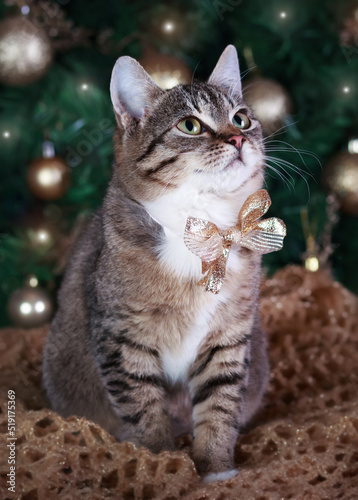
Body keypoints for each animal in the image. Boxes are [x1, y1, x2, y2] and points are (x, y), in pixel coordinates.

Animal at [42, 45, 268, 482]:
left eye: (241, 118)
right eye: (190, 125)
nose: (237, 138)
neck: (198, 226)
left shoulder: (228, 335)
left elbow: (219, 404)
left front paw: (216, 469)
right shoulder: (122, 336)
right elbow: (143, 408)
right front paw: (162, 465)